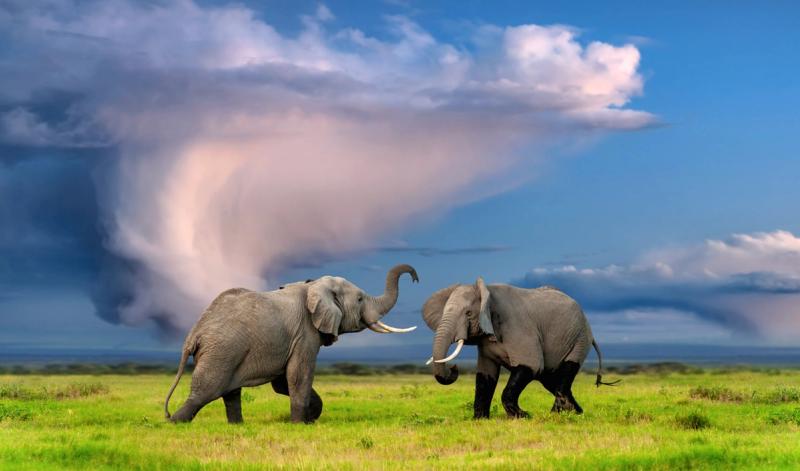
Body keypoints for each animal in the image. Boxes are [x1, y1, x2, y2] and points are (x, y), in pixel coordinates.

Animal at [164, 264, 419, 424]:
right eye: (359, 299)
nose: (415, 277)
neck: (314, 285)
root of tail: (194, 333)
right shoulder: (305, 333)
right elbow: (298, 374)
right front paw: (299, 424)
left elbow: (282, 382)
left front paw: (310, 418)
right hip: (222, 350)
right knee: (206, 391)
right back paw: (174, 423)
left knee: (230, 393)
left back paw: (237, 426)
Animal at [422, 278, 617, 419]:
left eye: (468, 313)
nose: (453, 368)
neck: (487, 293)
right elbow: (485, 376)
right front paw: (480, 419)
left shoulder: (519, 327)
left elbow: (531, 365)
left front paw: (522, 416)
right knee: (550, 379)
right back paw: (576, 413)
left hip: (580, 338)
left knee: (565, 371)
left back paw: (557, 415)